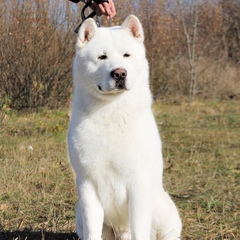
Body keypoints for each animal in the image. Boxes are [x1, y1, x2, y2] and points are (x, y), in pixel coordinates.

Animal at [67, 15, 182, 240]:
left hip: (165, 213)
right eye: (102, 57)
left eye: (126, 55)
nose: (119, 73)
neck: (111, 111)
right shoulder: (87, 184)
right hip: (79, 211)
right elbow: (92, 228)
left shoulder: (138, 183)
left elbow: (139, 227)